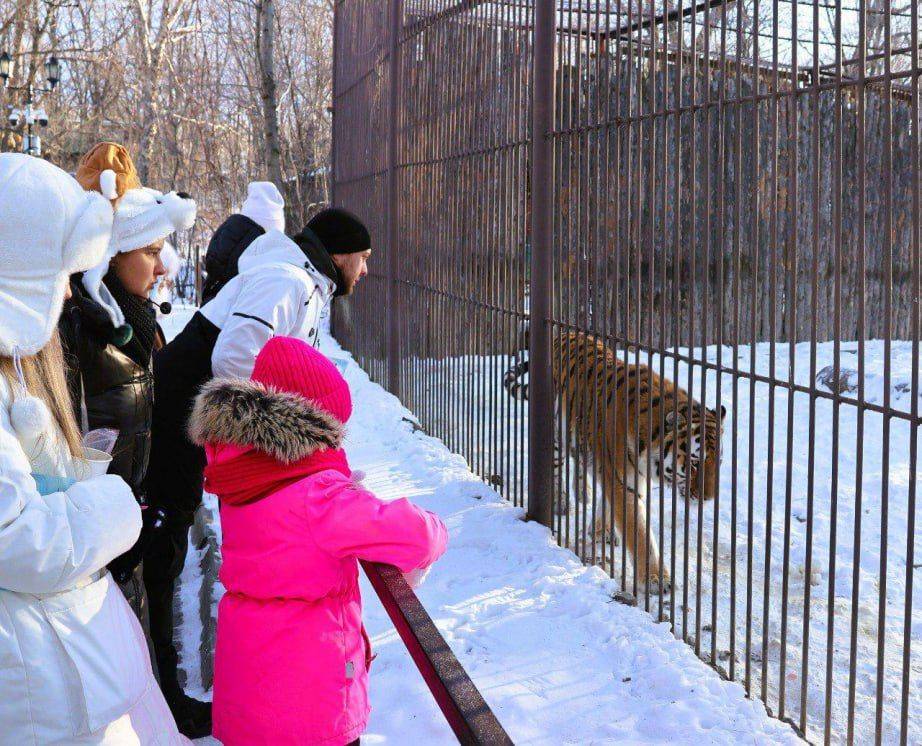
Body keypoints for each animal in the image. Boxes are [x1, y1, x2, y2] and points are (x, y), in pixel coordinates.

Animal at [504, 328, 724, 588]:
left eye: (718, 463)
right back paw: (560, 501)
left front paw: (601, 530)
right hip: (556, 433)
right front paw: (656, 579)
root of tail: (563, 333)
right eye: (694, 463)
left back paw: (584, 493)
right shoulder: (623, 481)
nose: (708, 499)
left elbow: (609, 502)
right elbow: (638, 532)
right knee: (556, 467)